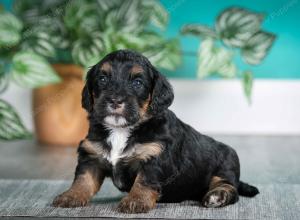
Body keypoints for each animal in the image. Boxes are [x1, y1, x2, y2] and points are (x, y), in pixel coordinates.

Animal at [52, 49, 258, 213]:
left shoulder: (156, 156)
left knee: (229, 188)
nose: (115, 100)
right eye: (102, 79)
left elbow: (144, 180)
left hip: (226, 165)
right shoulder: (91, 156)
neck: (122, 129)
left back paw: (217, 196)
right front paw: (70, 196)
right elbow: (83, 179)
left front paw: (136, 201)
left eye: (137, 83)